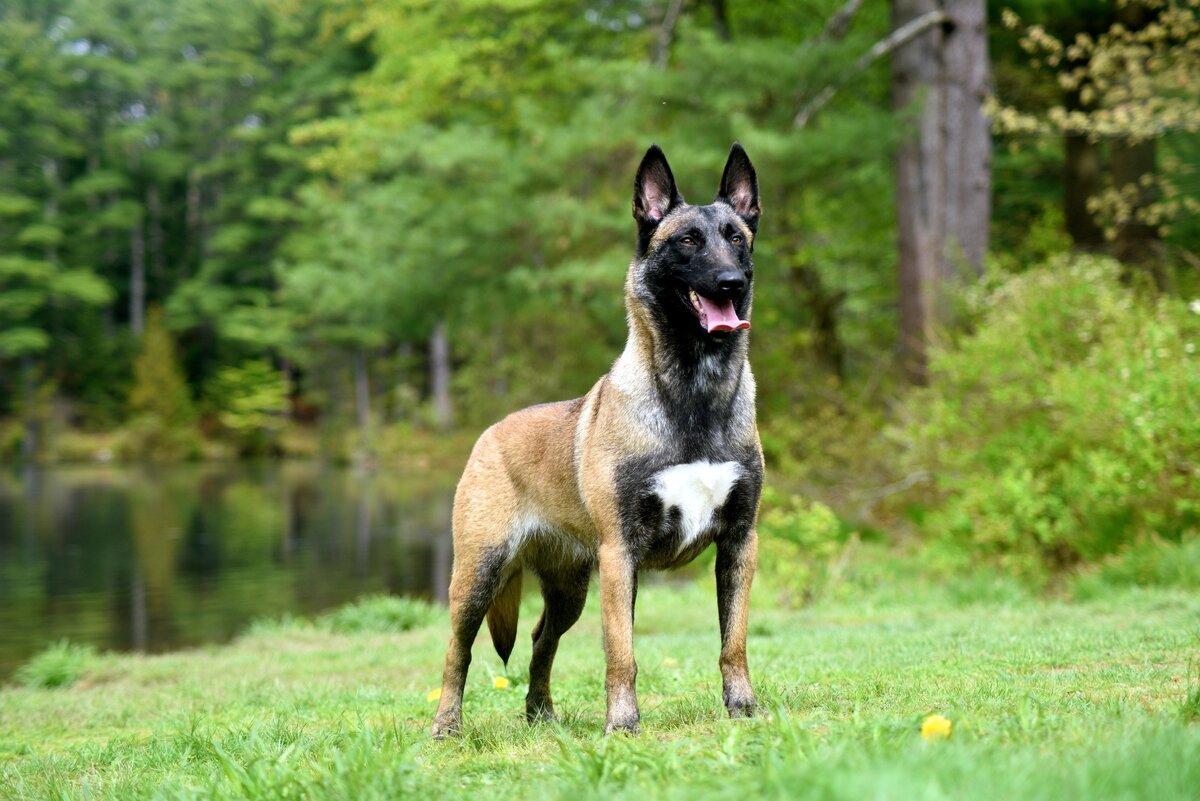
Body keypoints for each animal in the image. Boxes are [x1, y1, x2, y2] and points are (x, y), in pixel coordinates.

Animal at [432, 140, 763, 733]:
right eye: (686, 240)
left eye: (736, 238)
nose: (732, 283)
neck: (692, 394)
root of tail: (490, 432)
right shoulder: (620, 554)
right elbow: (621, 652)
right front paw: (623, 724)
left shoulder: (739, 542)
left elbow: (734, 642)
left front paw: (742, 706)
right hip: (479, 573)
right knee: (458, 651)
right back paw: (447, 724)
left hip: (568, 589)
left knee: (541, 640)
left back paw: (541, 713)